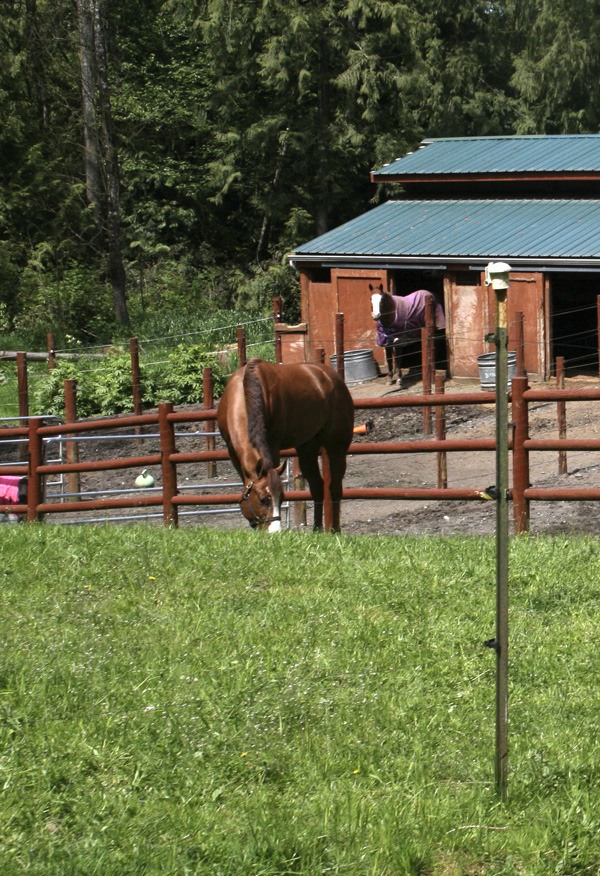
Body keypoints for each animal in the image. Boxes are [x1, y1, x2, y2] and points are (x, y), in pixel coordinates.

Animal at [217, 358, 354, 533]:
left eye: (282, 498)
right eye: (263, 499)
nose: (275, 531)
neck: (244, 391)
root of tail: (332, 376)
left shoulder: (272, 446)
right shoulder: (232, 450)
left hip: (336, 447)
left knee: (335, 487)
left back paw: (334, 530)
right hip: (307, 448)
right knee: (317, 487)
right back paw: (317, 530)